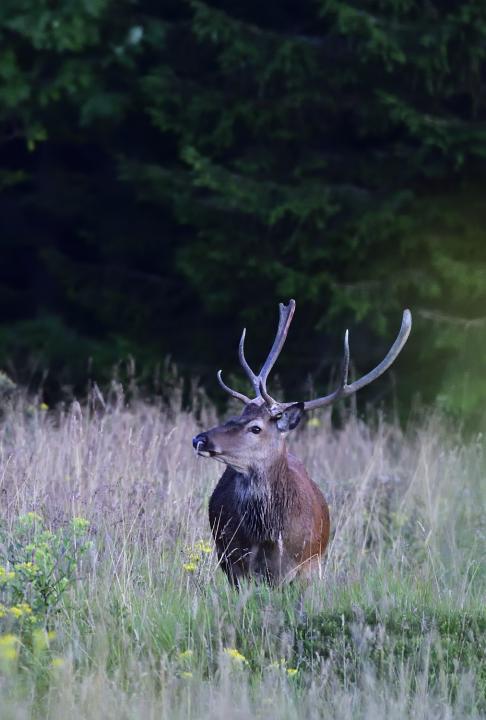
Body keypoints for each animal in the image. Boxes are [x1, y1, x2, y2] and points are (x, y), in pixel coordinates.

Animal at [192, 298, 412, 584]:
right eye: (234, 416)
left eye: (256, 428)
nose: (200, 439)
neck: (268, 536)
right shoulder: (234, 561)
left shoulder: (306, 565)